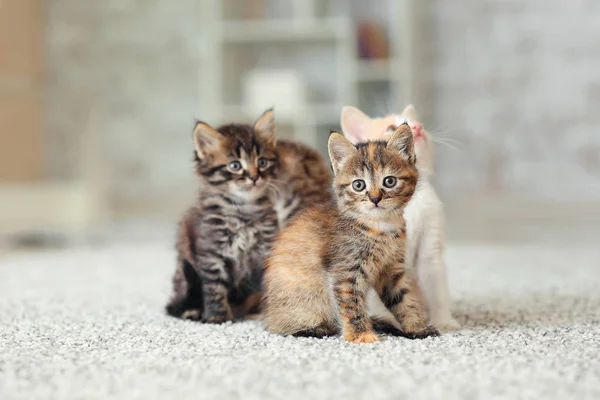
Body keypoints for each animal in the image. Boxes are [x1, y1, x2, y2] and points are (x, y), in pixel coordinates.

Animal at [166, 111, 282, 324]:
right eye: (235, 166)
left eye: (262, 162)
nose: (254, 177)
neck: (244, 209)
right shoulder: (211, 252)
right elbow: (214, 288)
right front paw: (217, 317)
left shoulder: (266, 248)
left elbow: (268, 282)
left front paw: (269, 311)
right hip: (184, 275)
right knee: (173, 305)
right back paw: (192, 311)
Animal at [264, 123, 438, 342]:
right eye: (358, 185)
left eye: (389, 181)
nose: (375, 198)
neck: (381, 226)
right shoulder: (345, 272)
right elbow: (351, 305)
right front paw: (361, 335)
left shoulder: (391, 270)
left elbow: (405, 300)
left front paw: (417, 327)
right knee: (284, 327)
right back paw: (316, 329)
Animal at [340, 104, 462, 332]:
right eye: (390, 127)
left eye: (419, 123)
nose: (418, 127)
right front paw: (386, 319)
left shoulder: (430, 246)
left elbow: (436, 286)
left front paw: (443, 320)